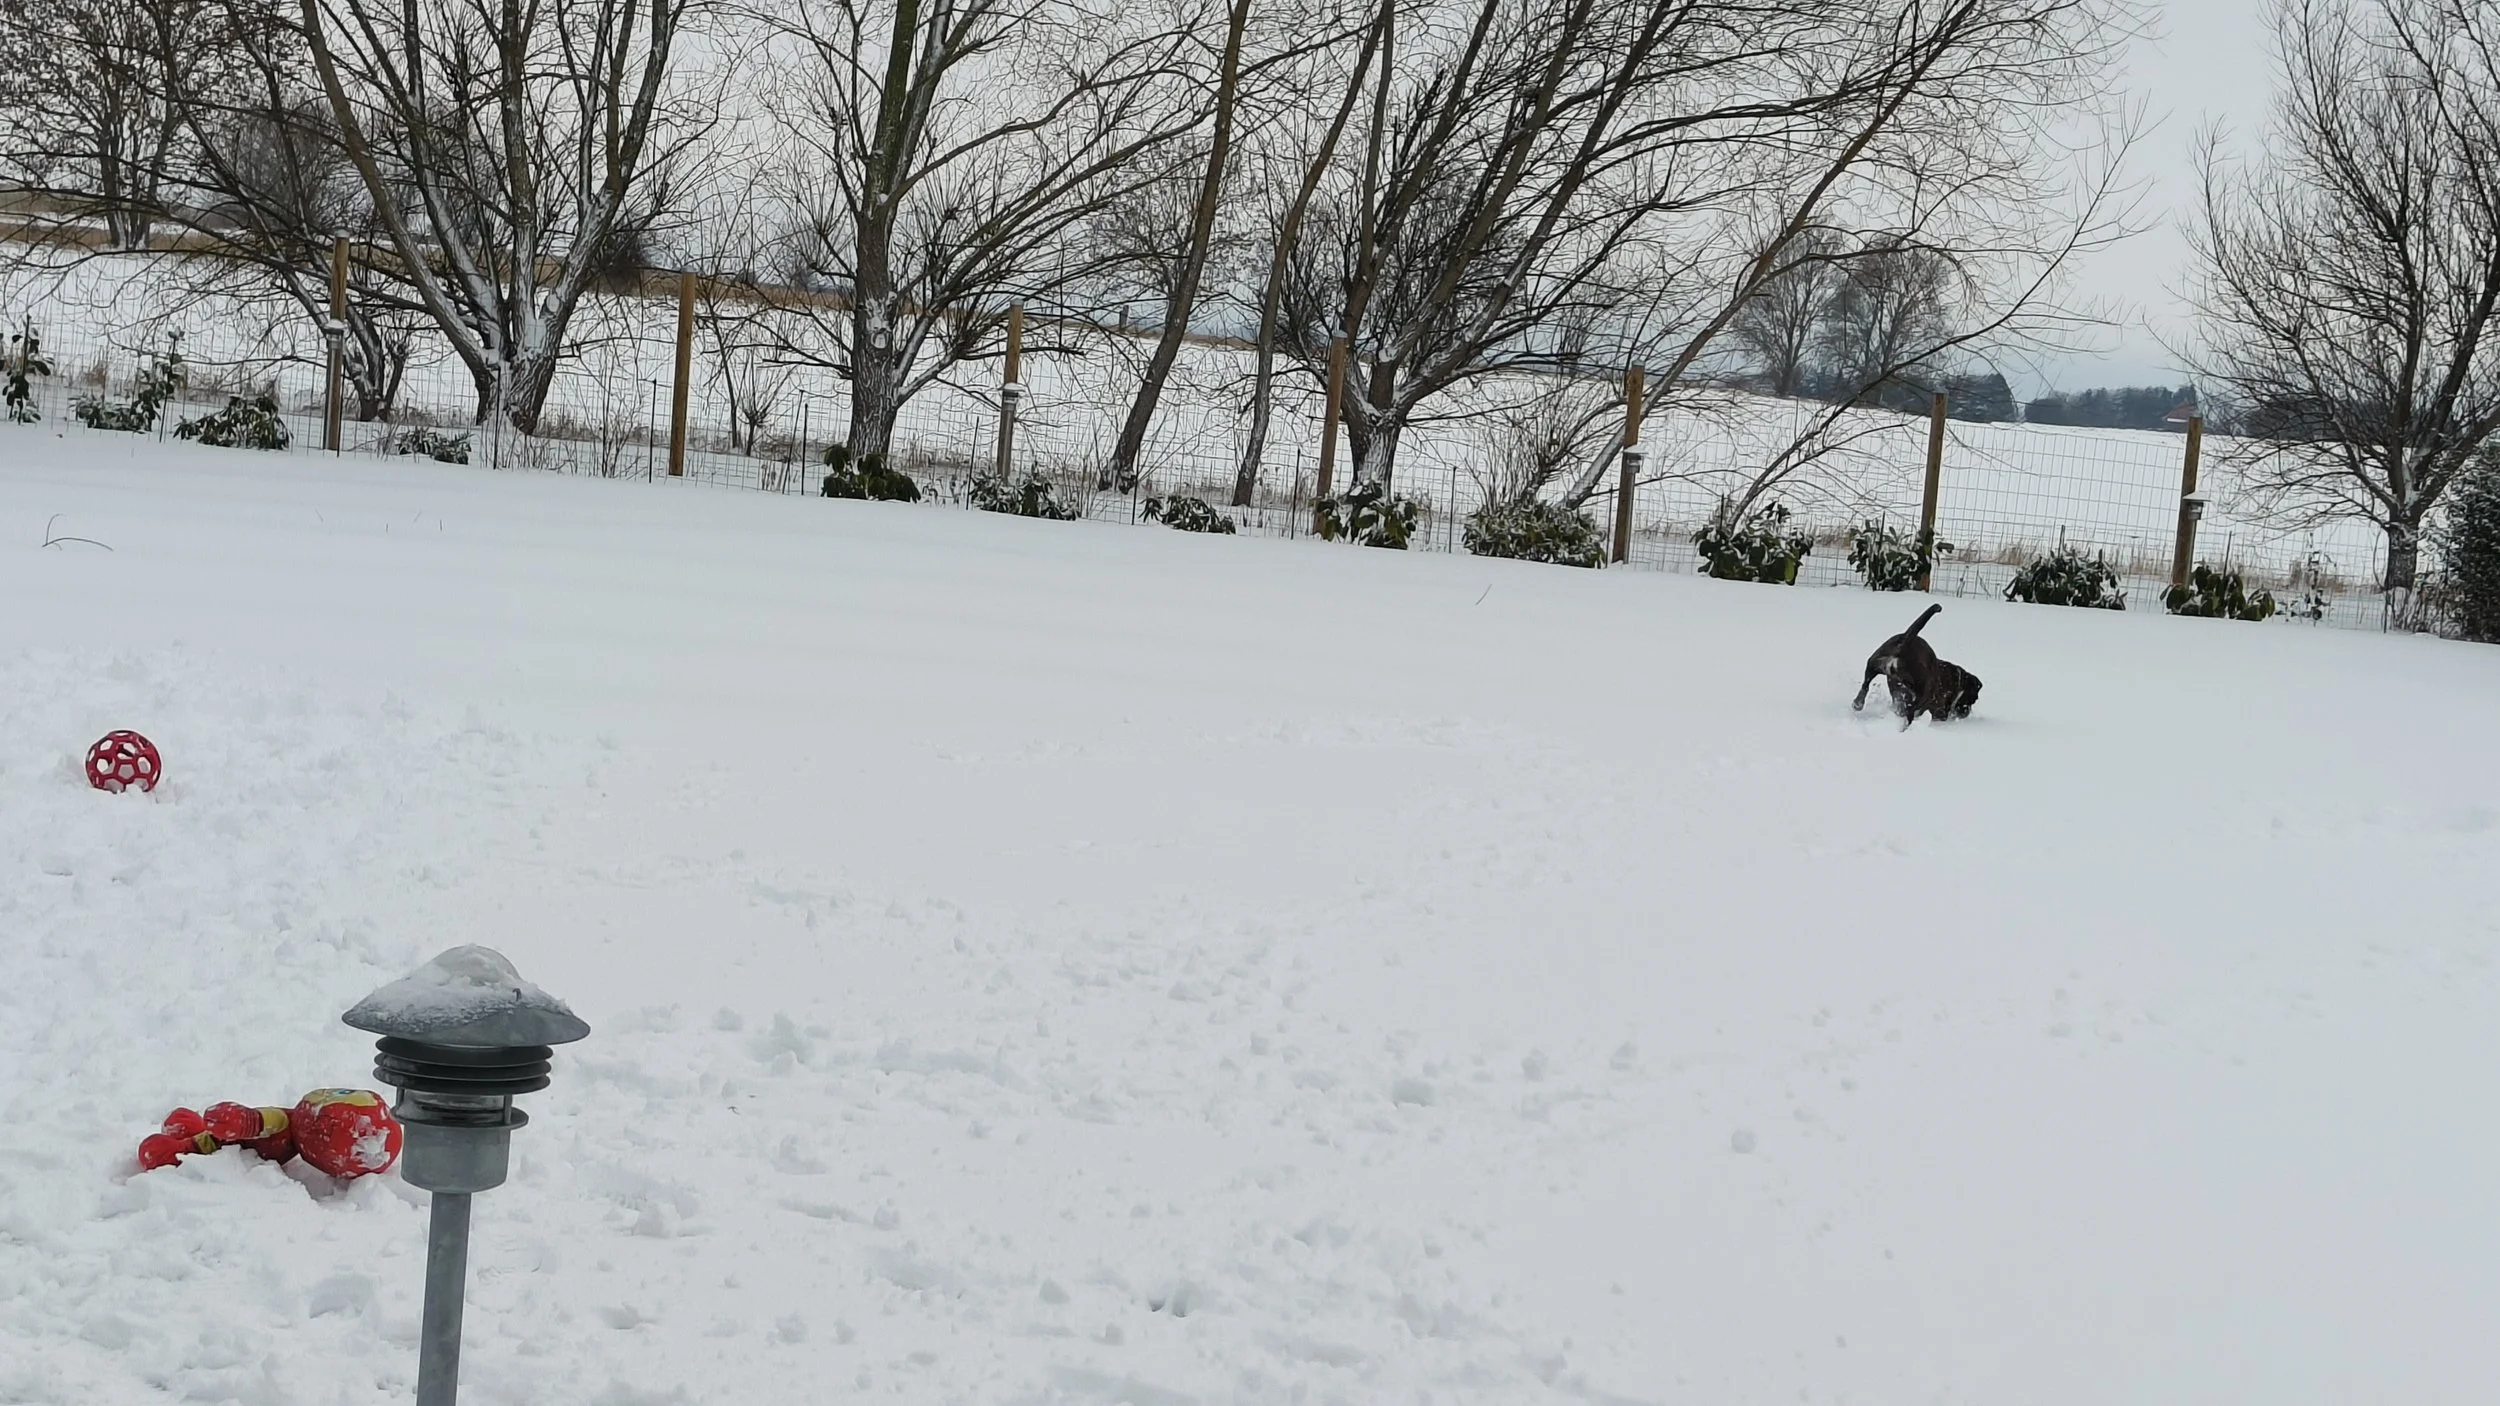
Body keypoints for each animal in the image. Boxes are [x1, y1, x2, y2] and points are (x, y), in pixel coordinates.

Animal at [1851, 603, 1982, 729]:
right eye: (1974, 699)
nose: (1967, 712)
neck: (1959, 684)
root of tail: (1905, 644)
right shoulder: (1939, 709)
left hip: (1873, 663)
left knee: (1866, 684)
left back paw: (1858, 703)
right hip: (1920, 691)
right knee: (1909, 708)